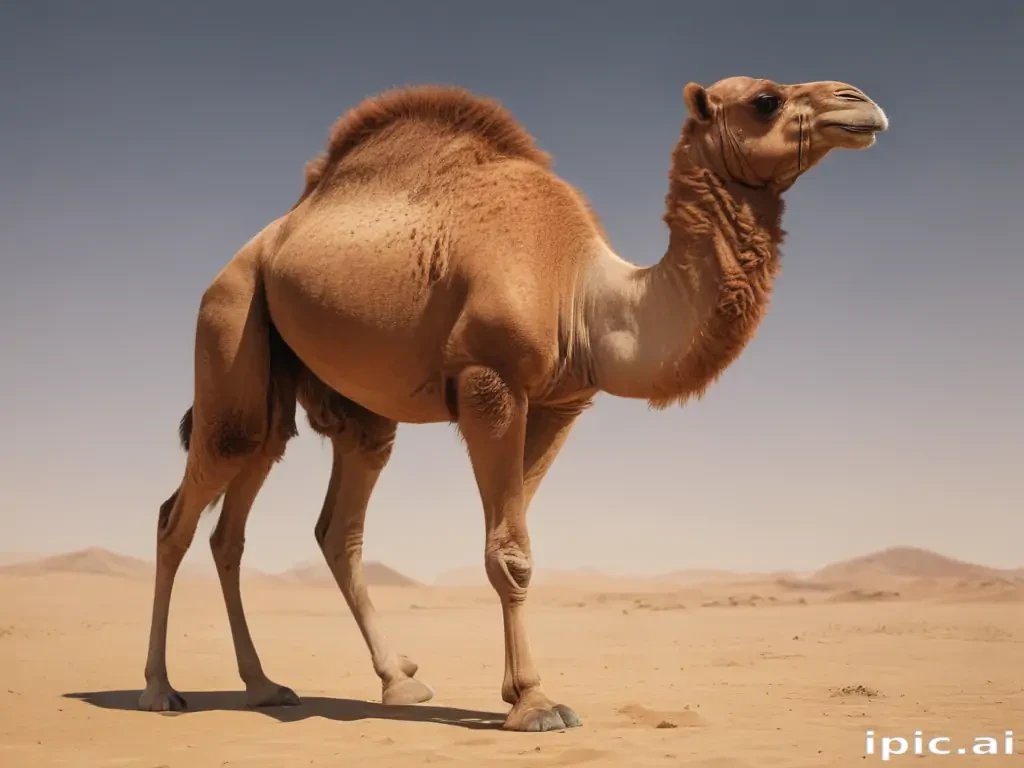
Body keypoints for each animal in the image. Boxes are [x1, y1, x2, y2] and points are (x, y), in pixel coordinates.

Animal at [140, 76, 888, 731]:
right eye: (766, 99)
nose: (861, 104)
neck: (584, 291)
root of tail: (255, 248)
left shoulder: (559, 404)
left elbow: (511, 534)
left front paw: (511, 692)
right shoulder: (488, 383)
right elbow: (510, 551)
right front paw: (535, 703)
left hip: (319, 394)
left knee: (291, 520)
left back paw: (325, 683)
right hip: (231, 316)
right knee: (183, 510)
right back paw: (160, 690)